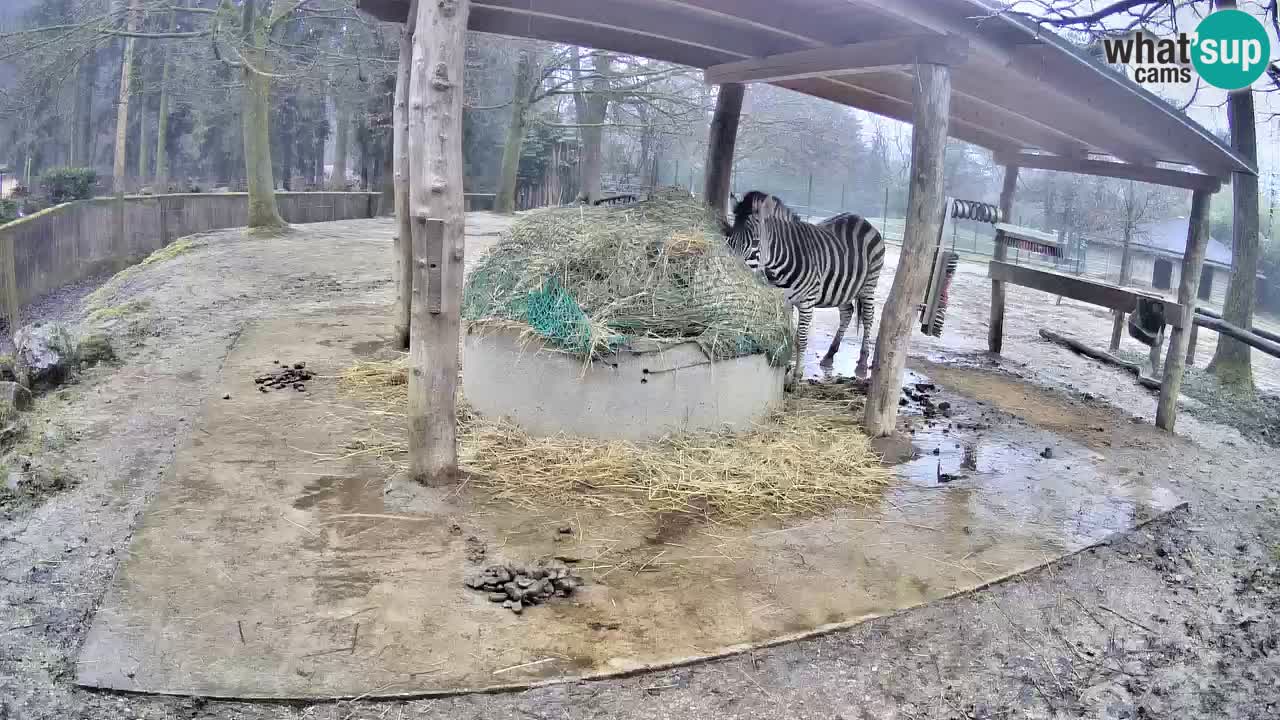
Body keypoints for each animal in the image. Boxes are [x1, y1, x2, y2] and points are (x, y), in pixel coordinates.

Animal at [722, 191, 886, 388]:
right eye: (730, 240)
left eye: (755, 243)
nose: (734, 278)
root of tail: (862, 220)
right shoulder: (785, 300)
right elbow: (790, 336)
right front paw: (786, 368)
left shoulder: (807, 303)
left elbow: (801, 338)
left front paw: (796, 376)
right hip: (843, 288)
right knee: (847, 312)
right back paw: (829, 355)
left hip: (869, 284)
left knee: (868, 317)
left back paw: (862, 362)